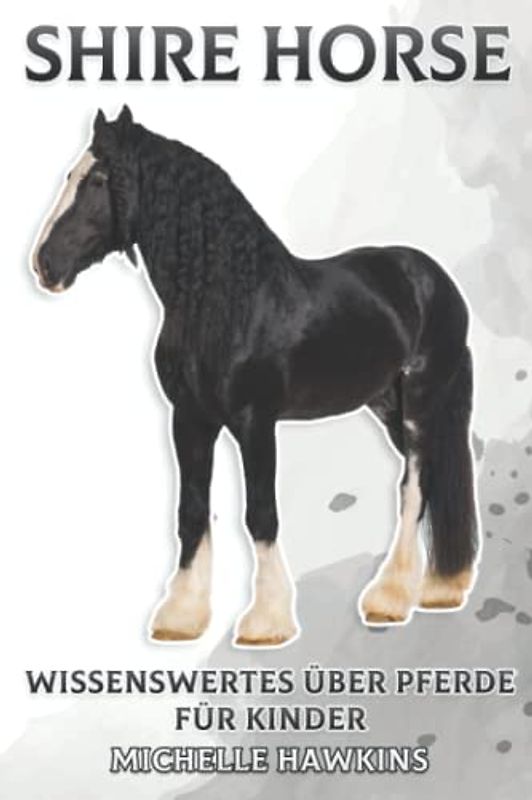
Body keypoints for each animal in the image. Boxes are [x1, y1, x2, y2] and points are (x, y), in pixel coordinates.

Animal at [31, 106, 479, 647]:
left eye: (97, 180)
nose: (44, 264)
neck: (228, 301)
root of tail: (434, 278)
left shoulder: (255, 422)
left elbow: (260, 513)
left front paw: (267, 621)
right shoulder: (190, 420)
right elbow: (192, 512)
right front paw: (181, 617)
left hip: (421, 401)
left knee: (415, 487)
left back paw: (389, 599)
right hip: (387, 405)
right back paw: (437, 589)